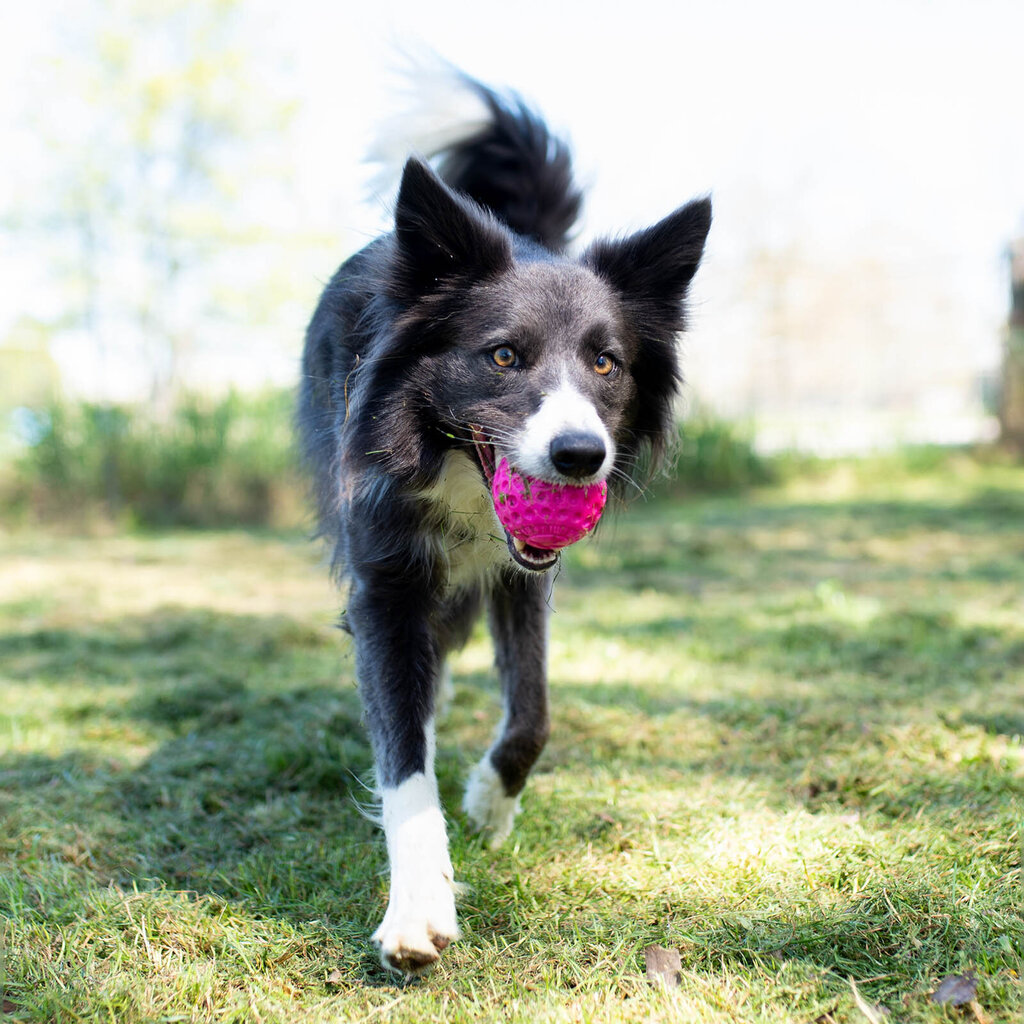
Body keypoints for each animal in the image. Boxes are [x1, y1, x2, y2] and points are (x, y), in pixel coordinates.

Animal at [296, 74, 712, 974]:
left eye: (606, 362)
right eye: (503, 357)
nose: (579, 456)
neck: (453, 470)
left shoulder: (526, 577)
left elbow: (534, 710)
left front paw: (490, 800)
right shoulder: (383, 577)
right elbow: (402, 758)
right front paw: (418, 907)